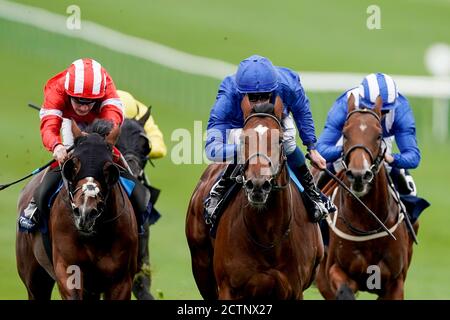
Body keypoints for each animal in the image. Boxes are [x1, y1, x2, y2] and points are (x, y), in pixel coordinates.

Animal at [15, 120, 137, 300]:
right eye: (72, 166)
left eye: (109, 169)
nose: (85, 211)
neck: (94, 238)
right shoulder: (67, 270)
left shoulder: (121, 281)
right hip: (35, 280)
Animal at [186, 95, 324, 300]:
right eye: (243, 139)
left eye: (280, 140)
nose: (258, 184)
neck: (268, 236)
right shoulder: (229, 288)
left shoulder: (294, 290)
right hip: (201, 267)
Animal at [314, 95, 416, 300]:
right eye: (345, 134)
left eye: (378, 136)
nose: (359, 175)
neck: (367, 223)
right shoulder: (334, 270)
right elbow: (344, 290)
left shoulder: (396, 282)